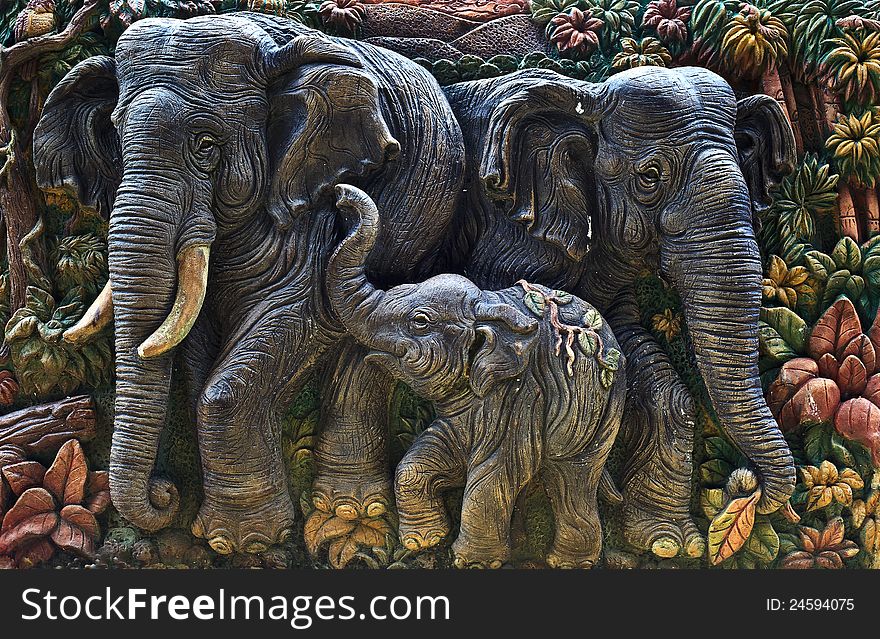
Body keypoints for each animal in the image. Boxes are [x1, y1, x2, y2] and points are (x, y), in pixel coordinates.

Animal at [31, 11, 464, 556]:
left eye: (205, 144)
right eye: (116, 138)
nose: (165, 493)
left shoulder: (306, 209)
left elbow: (304, 314)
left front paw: (243, 542)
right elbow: (198, 340)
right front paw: (234, 537)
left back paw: (350, 511)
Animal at [324, 185, 624, 568]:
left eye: (420, 321)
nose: (339, 194)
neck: (487, 302)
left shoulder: (521, 394)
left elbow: (497, 469)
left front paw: (474, 562)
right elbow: (428, 455)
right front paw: (425, 541)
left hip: (598, 412)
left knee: (572, 476)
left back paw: (567, 563)